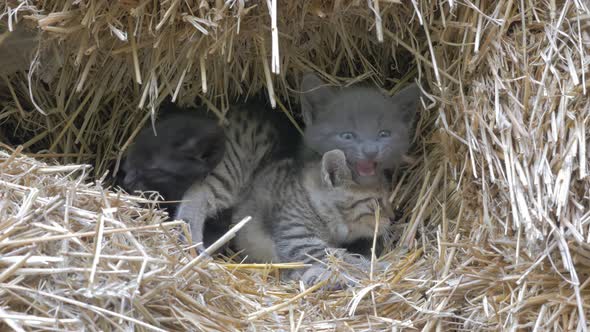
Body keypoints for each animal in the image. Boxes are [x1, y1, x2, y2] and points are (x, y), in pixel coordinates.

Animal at [234, 149, 396, 286]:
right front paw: (377, 266)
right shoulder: (300, 241)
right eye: (377, 201)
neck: (311, 203)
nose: (393, 217)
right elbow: (343, 259)